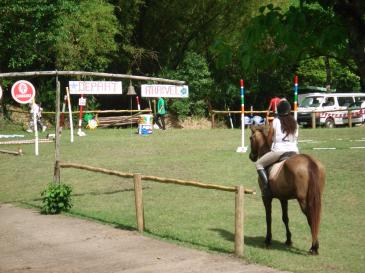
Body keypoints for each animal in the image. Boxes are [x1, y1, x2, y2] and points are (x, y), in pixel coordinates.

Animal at [247, 125, 324, 253]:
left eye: (250, 138)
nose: (251, 157)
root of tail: (309, 161)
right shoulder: (283, 198)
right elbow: (285, 218)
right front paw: (288, 240)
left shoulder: (266, 198)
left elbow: (268, 217)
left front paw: (268, 240)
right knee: (315, 217)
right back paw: (314, 245)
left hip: (303, 200)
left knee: (310, 217)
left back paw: (314, 247)